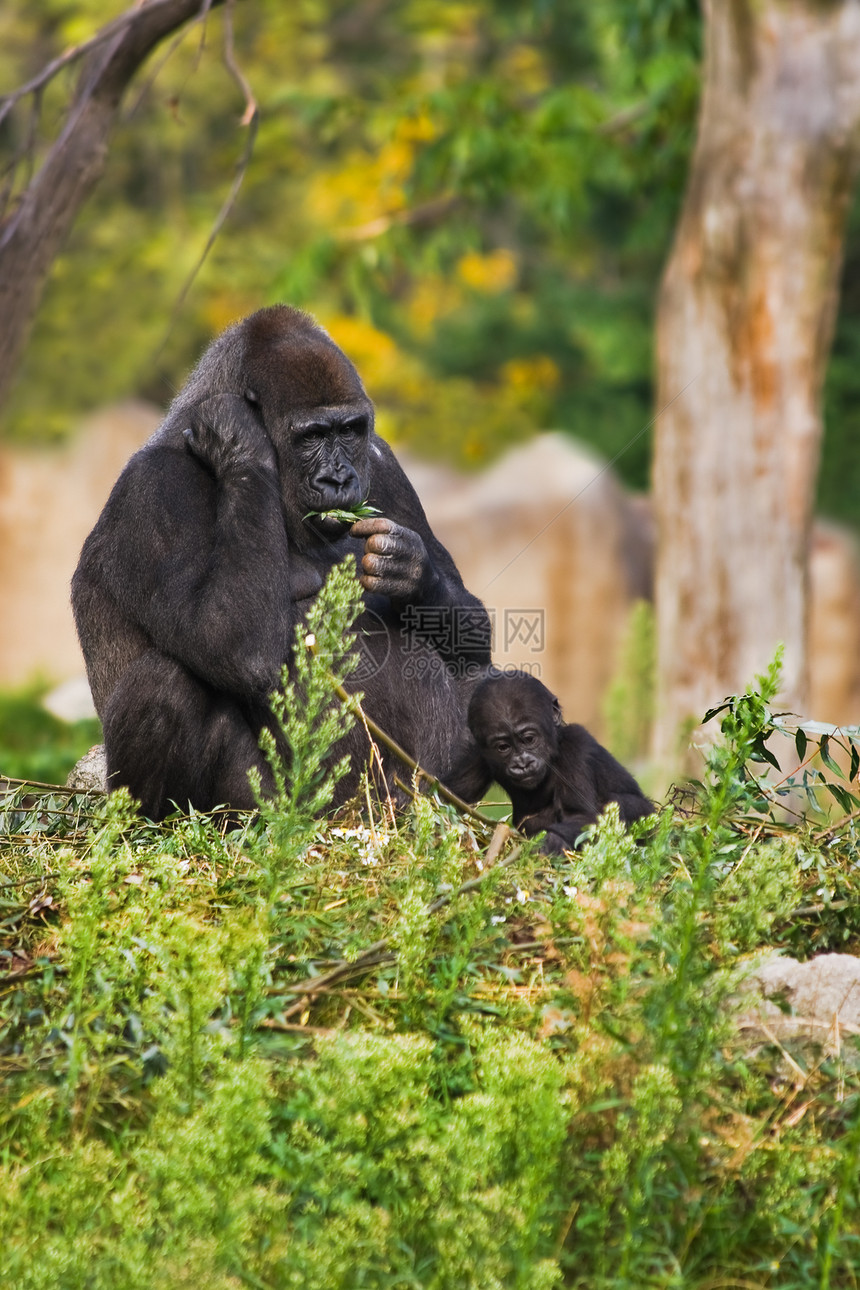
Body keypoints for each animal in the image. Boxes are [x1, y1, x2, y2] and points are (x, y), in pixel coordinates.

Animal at [74, 304, 489, 815]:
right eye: (311, 436)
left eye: (350, 431)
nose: (339, 480)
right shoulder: (154, 490)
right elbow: (227, 642)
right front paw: (238, 439)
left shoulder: (382, 460)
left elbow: (473, 633)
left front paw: (409, 569)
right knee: (166, 683)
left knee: (487, 677)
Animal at [451, 670, 652, 851]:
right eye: (503, 747)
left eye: (529, 739)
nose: (522, 764)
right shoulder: (479, 756)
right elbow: (454, 795)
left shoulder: (576, 746)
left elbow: (583, 816)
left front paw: (549, 843)